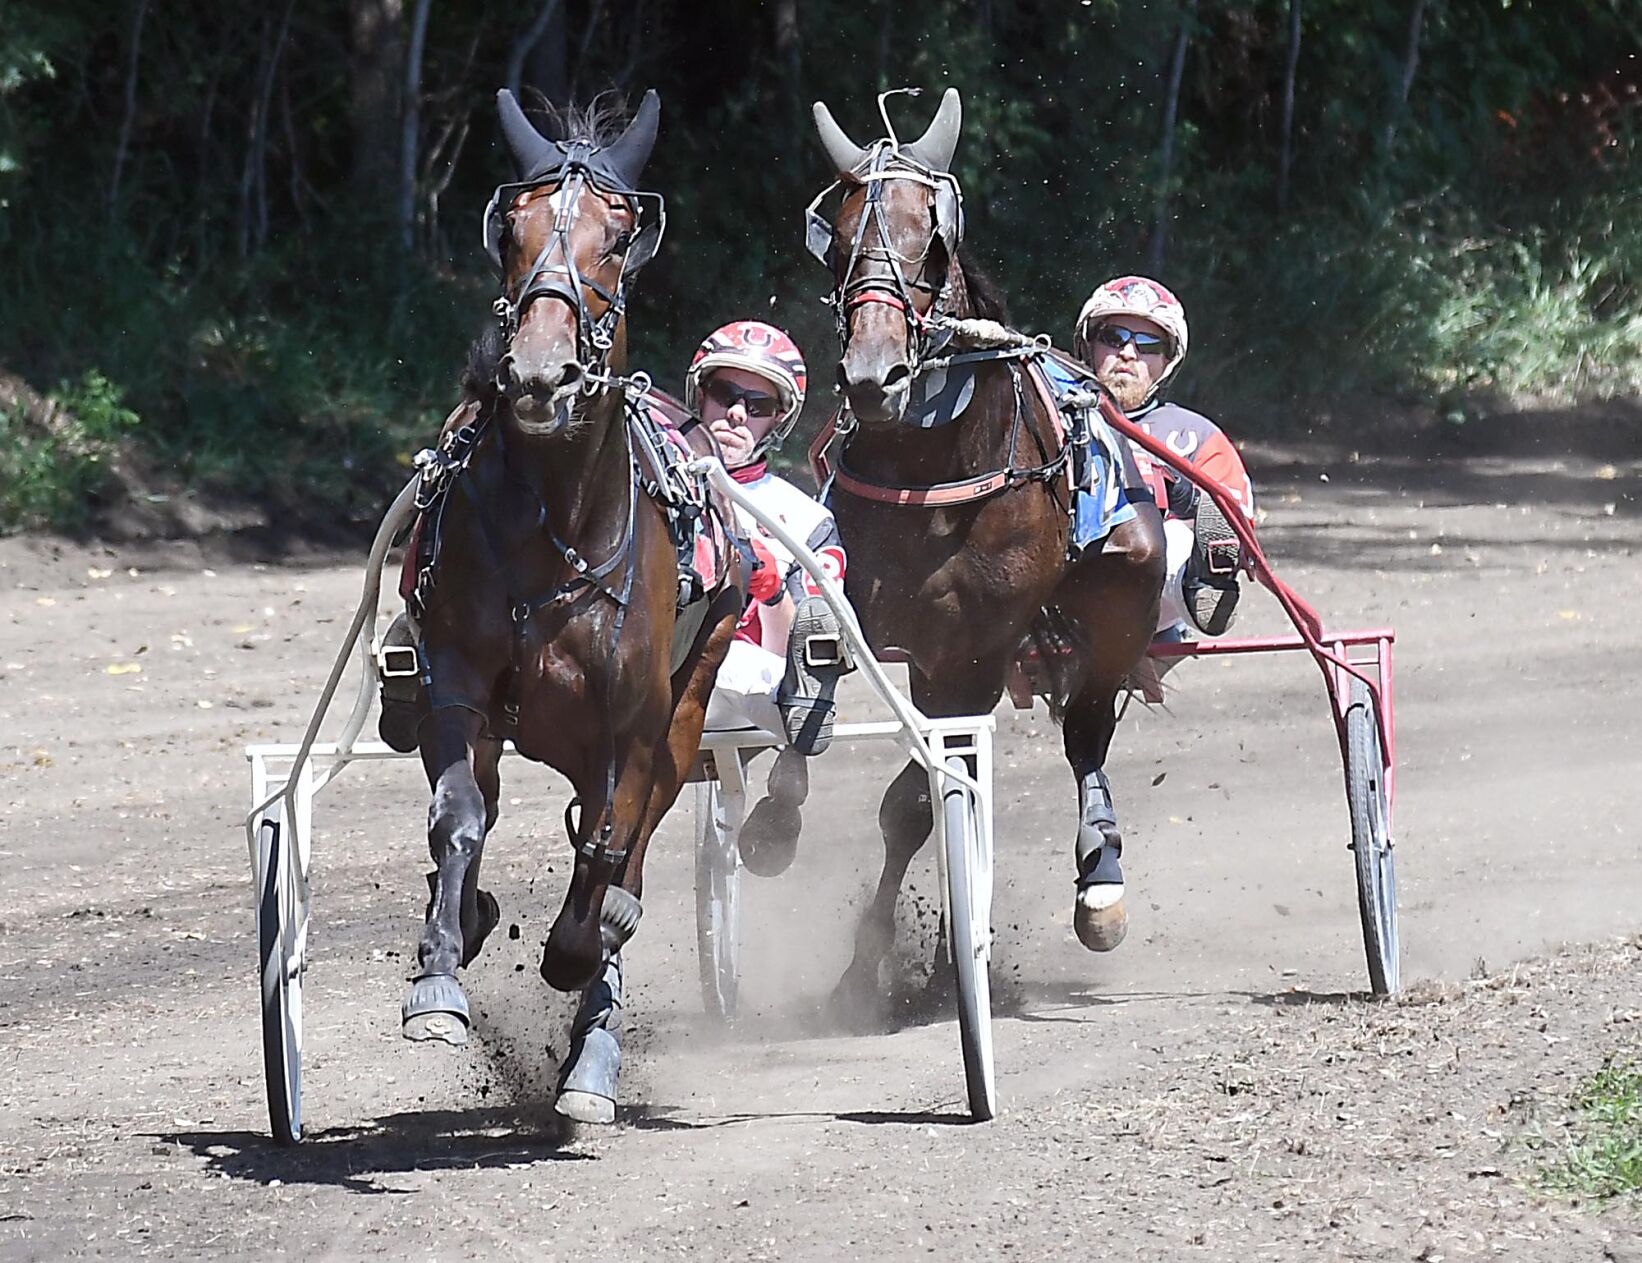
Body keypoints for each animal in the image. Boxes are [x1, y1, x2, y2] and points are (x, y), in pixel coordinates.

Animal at [397, 91, 738, 1116]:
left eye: (617, 239)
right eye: (511, 227)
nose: (541, 373)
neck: (554, 521)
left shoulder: (631, 722)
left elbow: (606, 849)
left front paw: (580, 959)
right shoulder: (457, 683)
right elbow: (459, 815)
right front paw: (440, 968)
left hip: (690, 701)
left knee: (631, 839)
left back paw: (593, 1034)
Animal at [804, 91, 1169, 1011]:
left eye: (932, 240)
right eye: (838, 239)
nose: (874, 376)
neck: (933, 470)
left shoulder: (975, 645)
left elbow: (921, 797)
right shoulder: (884, 625)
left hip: (1121, 589)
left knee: (1085, 733)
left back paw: (1097, 882)